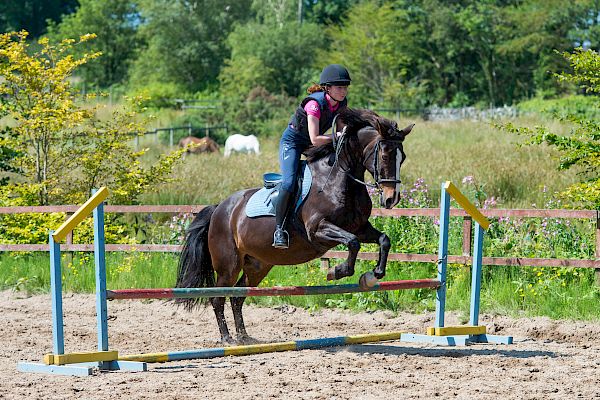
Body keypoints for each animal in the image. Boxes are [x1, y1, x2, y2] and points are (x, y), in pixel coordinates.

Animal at [176, 109, 414, 344]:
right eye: (385, 155)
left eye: (402, 158)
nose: (391, 199)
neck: (338, 180)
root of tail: (219, 208)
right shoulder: (318, 230)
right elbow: (353, 243)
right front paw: (336, 271)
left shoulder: (360, 228)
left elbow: (383, 239)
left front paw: (373, 274)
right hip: (228, 265)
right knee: (218, 298)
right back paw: (227, 339)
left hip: (258, 265)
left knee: (238, 297)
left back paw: (244, 337)